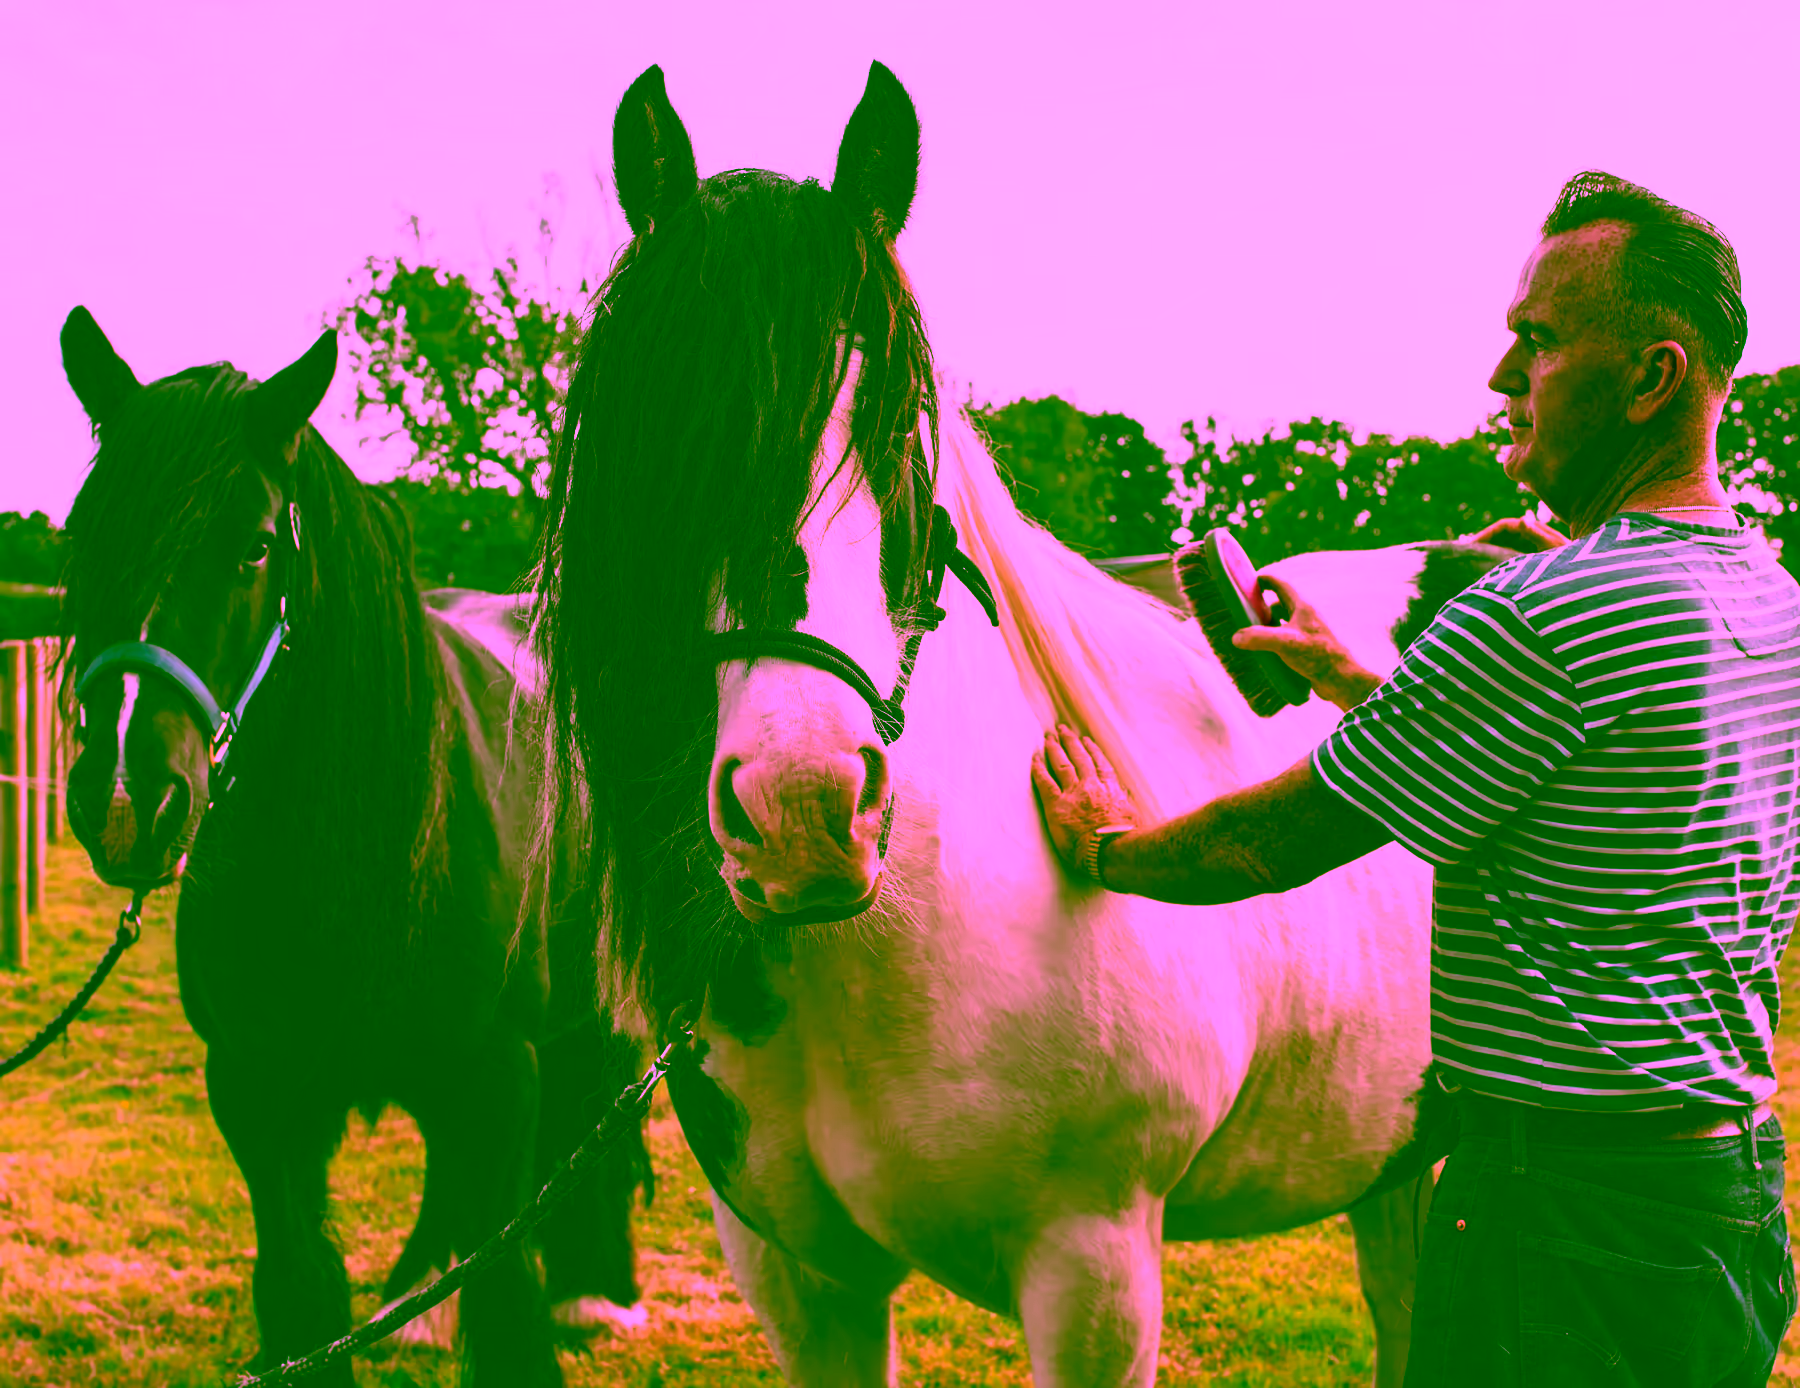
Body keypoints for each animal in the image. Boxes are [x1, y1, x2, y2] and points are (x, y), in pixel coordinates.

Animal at [56, 312, 648, 1386]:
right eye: (85, 536)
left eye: (253, 547)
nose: (125, 799)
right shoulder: (256, 1092)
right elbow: (301, 1290)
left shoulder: (497, 1074)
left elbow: (506, 1297)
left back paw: (595, 1289)